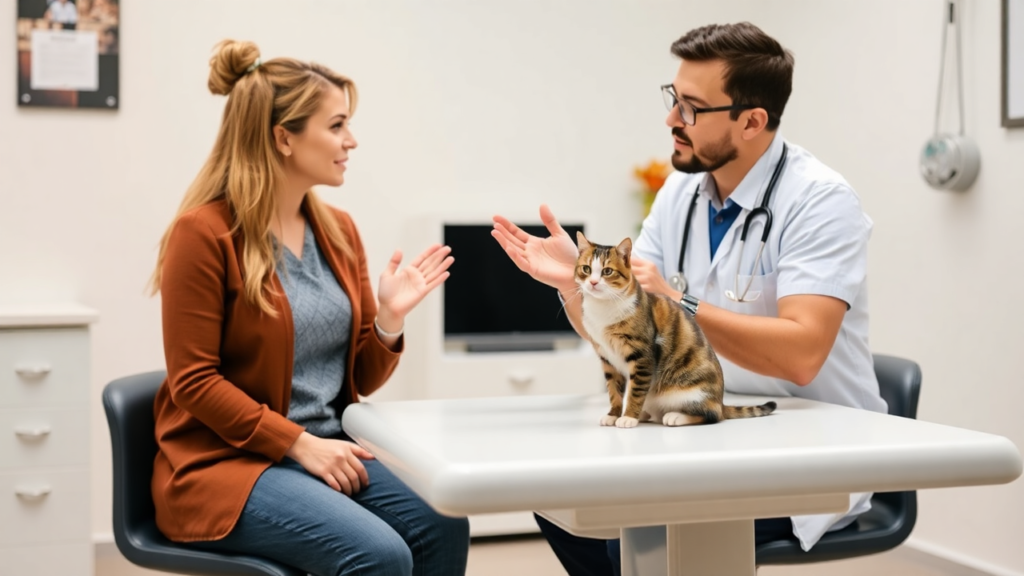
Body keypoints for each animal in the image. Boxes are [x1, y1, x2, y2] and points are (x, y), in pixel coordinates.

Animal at [577, 231, 774, 426]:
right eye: (586, 269)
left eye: (607, 271)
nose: (593, 282)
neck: (602, 308)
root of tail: (721, 402)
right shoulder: (607, 358)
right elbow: (614, 390)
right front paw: (613, 414)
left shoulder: (642, 356)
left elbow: (635, 391)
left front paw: (629, 417)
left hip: (694, 391)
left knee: (712, 415)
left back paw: (676, 416)